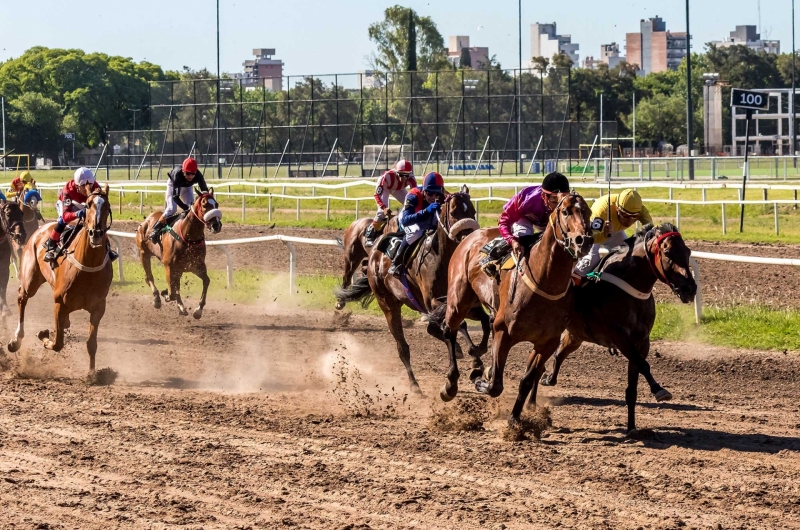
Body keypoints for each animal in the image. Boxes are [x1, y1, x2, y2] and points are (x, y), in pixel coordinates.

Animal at [7, 186, 114, 372]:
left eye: (107, 207)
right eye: (88, 205)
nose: (96, 233)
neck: (88, 266)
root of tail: (39, 230)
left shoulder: (98, 307)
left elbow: (91, 344)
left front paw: (93, 373)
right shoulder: (59, 303)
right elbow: (57, 343)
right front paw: (43, 335)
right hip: (30, 278)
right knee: (22, 297)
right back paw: (16, 340)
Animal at [134, 187, 222, 318]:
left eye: (216, 204)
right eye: (204, 205)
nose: (216, 225)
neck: (189, 238)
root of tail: (148, 219)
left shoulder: (196, 265)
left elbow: (206, 281)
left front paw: (198, 310)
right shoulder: (169, 266)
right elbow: (172, 293)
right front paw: (164, 294)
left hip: (178, 269)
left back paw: (181, 307)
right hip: (143, 253)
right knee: (149, 277)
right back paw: (157, 299)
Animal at [334, 184, 484, 390]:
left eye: (472, 211)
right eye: (454, 212)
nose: (470, 238)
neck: (442, 258)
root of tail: (374, 257)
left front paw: (473, 356)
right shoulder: (433, 301)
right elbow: (457, 325)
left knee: (432, 329)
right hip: (385, 300)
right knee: (402, 346)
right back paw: (414, 385)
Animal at [432, 192, 592, 426]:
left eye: (588, 211)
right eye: (566, 211)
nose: (584, 240)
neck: (544, 282)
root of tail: (469, 237)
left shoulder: (547, 343)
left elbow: (526, 380)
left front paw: (515, 419)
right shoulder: (503, 332)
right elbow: (495, 385)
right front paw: (481, 378)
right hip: (459, 300)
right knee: (449, 331)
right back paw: (450, 385)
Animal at [536, 221, 700, 432]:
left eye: (688, 251)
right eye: (667, 252)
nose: (690, 289)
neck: (630, 288)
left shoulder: (642, 341)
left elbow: (633, 383)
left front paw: (631, 427)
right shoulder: (620, 336)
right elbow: (644, 365)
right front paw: (659, 390)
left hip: (575, 335)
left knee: (559, 353)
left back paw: (548, 378)